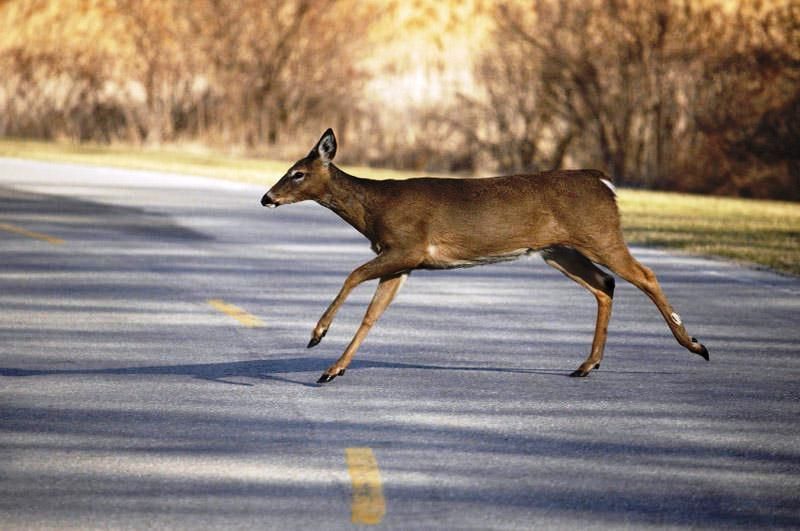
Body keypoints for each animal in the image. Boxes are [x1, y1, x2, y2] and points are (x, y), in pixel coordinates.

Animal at [260, 131, 708, 384]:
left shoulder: (407, 246)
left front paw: (317, 335)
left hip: (599, 233)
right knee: (605, 284)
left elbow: (352, 275)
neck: (374, 210)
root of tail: (603, 181)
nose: (267, 197)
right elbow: (373, 314)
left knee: (644, 274)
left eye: (298, 173)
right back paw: (587, 365)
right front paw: (332, 370)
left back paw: (695, 345)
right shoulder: (403, 263)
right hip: (557, 249)